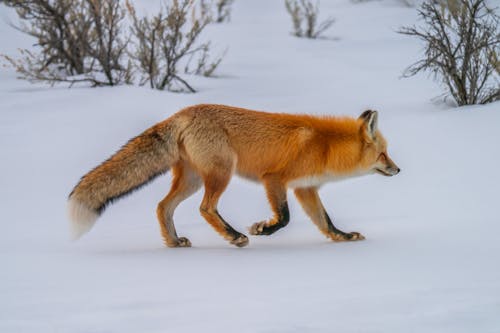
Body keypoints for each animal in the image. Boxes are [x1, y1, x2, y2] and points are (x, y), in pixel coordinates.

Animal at [68, 104, 400, 246]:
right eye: (384, 154)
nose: (398, 170)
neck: (324, 146)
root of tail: (181, 113)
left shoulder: (305, 189)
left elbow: (325, 221)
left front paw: (343, 237)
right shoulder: (274, 179)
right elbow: (284, 217)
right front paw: (262, 230)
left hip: (192, 180)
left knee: (163, 207)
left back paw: (174, 242)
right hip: (221, 173)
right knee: (205, 208)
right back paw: (234, 236)